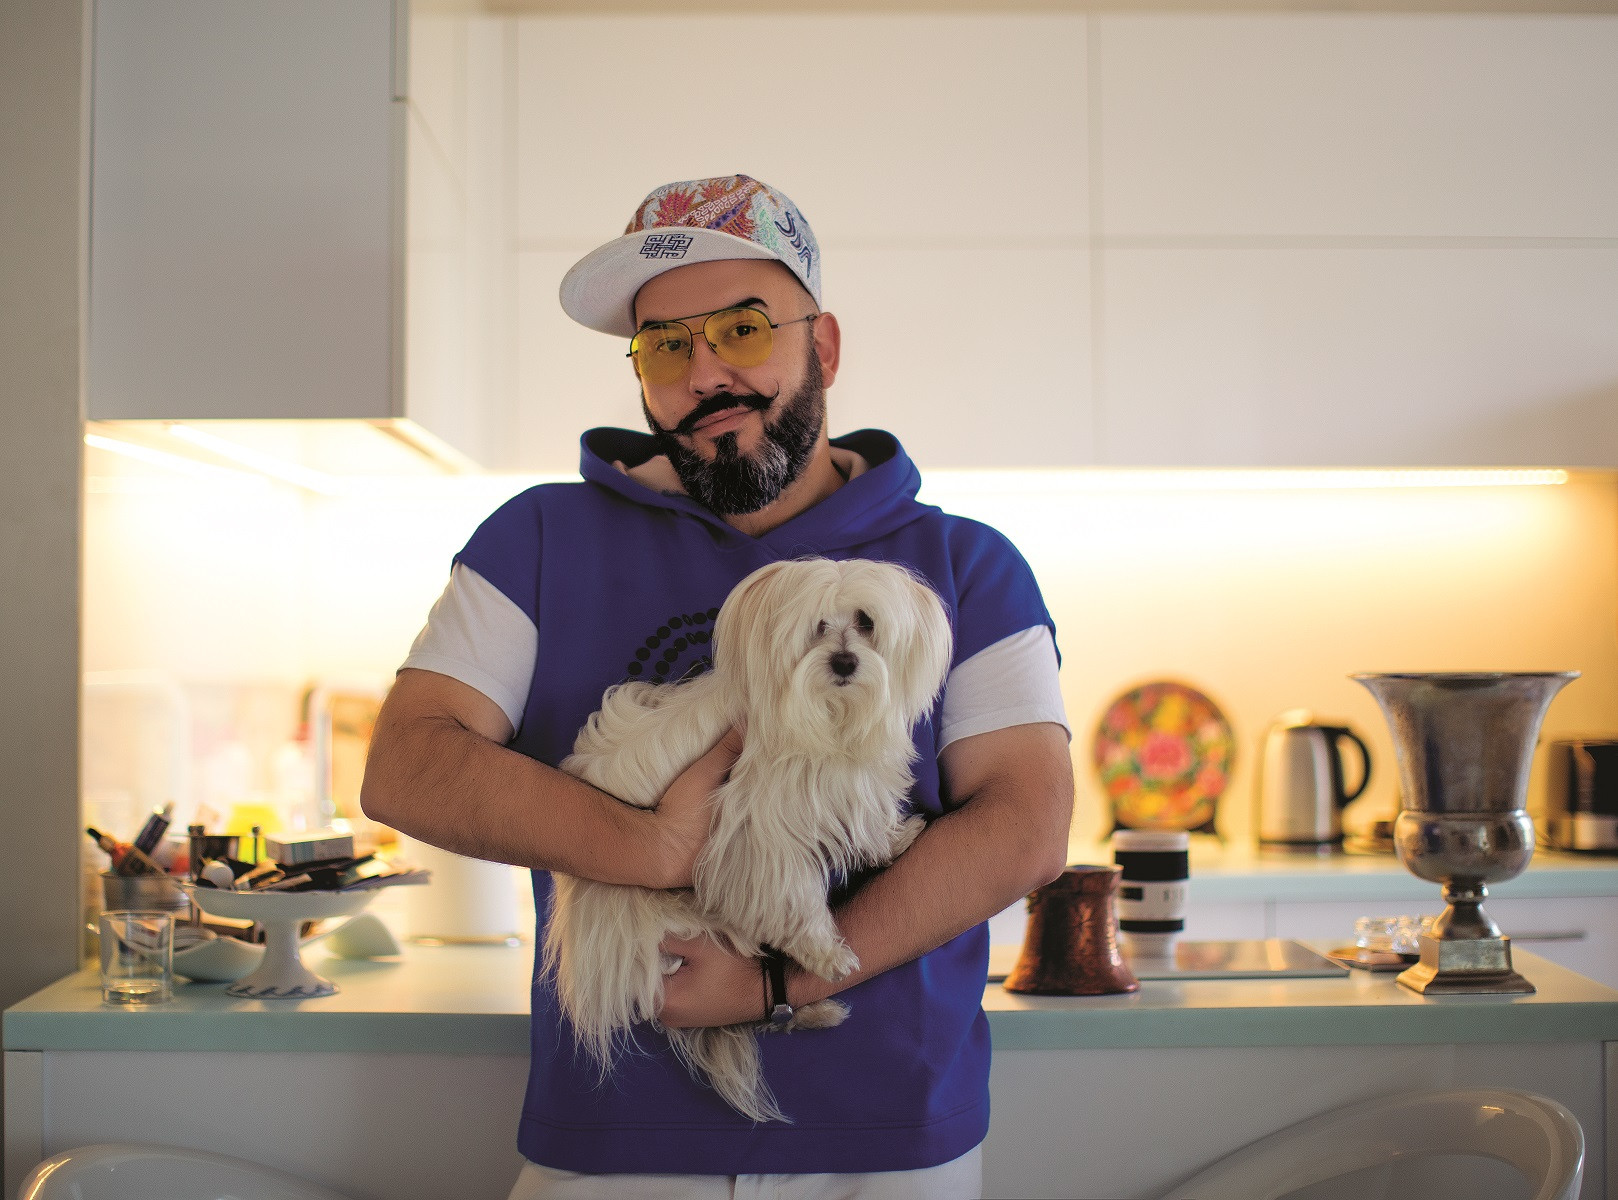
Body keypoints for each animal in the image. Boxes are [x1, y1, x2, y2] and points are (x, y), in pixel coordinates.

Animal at [544, 557, 953, 1123]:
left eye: (866, 622)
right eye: (815, 627)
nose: (845, 662)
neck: (824, 719)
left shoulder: (847, 787)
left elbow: (867, 823)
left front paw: (893, 839)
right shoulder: (758, 832)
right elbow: (794, 894)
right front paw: (825, 953)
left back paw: (811, 1014)